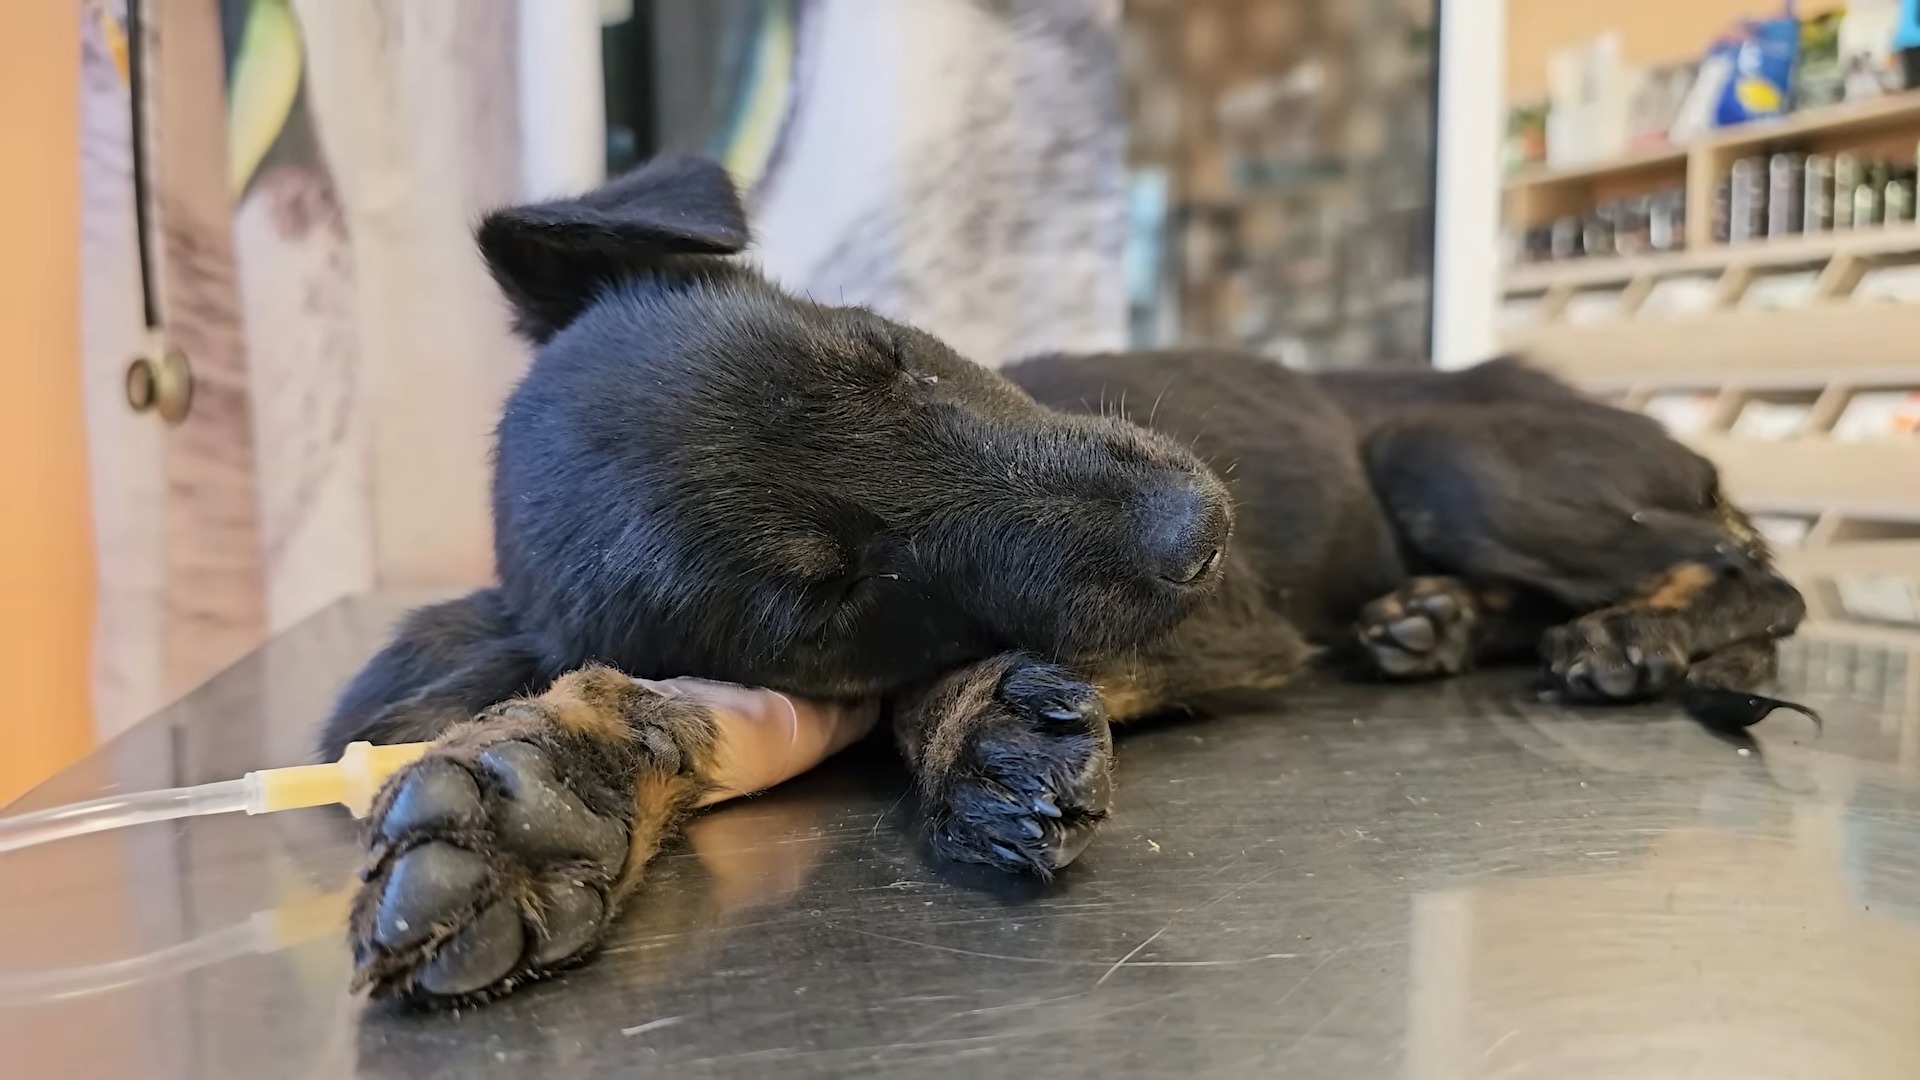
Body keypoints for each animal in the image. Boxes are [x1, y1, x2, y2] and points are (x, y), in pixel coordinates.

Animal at [322, 151, 1804, 999]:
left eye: (889, 353)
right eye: (835, 595)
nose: (1197, 526)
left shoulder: (1229, 625)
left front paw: (978, 737)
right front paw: (550, 805)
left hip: (1443, 453)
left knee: (1760, 570)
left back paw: (1637, 635)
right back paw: (1437, 618)